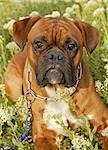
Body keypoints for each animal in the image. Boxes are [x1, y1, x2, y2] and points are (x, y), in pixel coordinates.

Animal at [3, 15, 108, 149]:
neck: (58, 92)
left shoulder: (103, 124)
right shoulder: (45, 137)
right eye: (39, 43)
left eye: (71, 45)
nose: (55, 55)